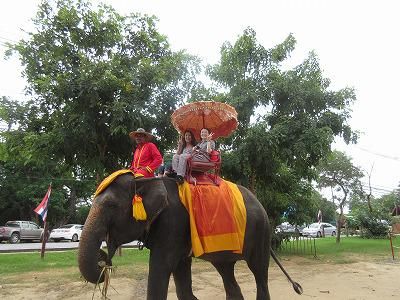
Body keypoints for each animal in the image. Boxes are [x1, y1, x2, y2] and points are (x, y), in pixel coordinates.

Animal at [77, 175, 300, 298]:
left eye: (111, 205)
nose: (103, 260)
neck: (145, 180)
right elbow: (181, 273)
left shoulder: (173, 223)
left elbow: (161, 267)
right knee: (227, 272)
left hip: (261, 232)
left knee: (259, 273)